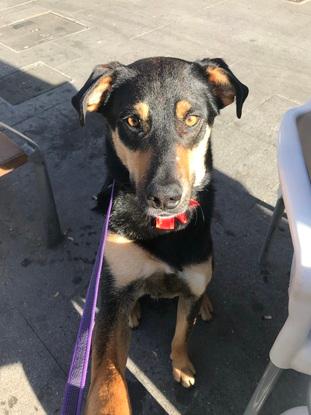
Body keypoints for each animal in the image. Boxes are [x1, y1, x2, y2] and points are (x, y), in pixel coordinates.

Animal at [72, 56, 249, 415]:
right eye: (132, 121)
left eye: (192, 118)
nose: (165, 198)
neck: (162, 230)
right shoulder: (110, 308)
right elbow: (108, 373)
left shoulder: (191, 282)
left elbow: (181, 333)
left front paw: (181, 366)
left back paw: (206, 303)